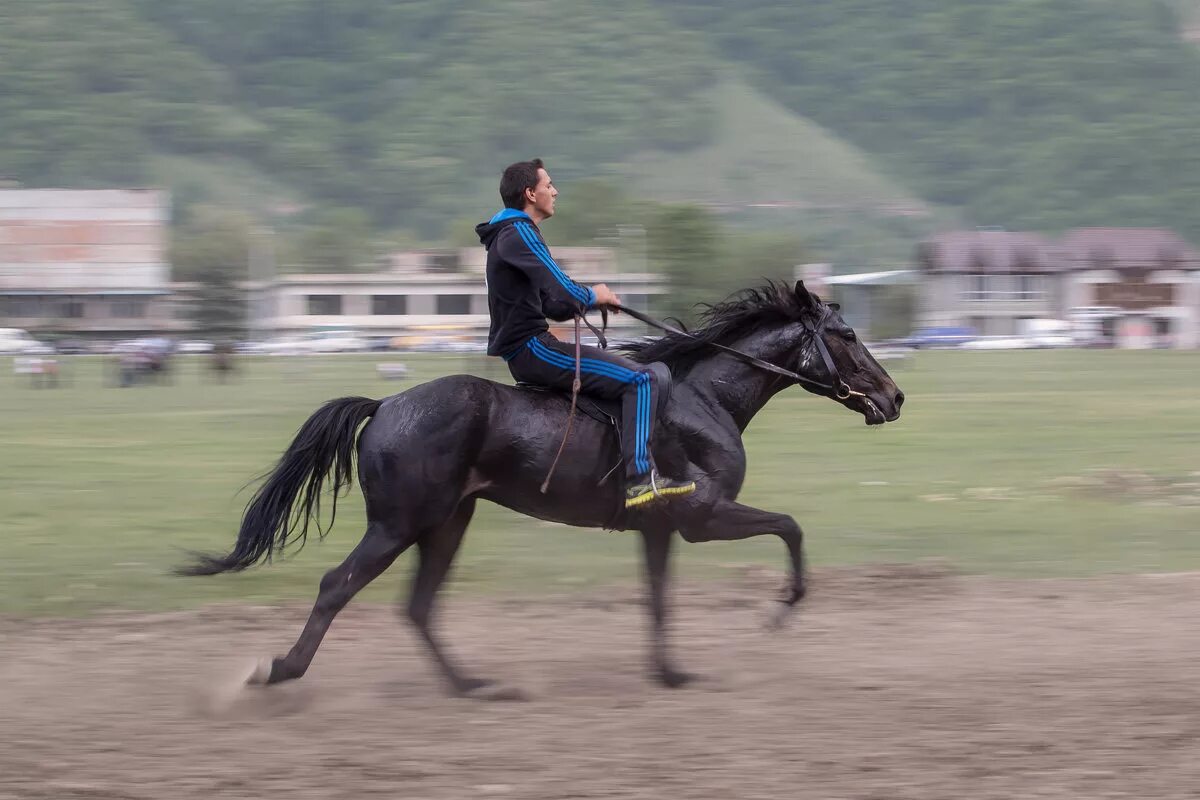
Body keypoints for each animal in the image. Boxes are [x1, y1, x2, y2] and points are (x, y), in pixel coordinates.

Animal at [182, 284, 902, 695]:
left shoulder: (662, 529)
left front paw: (669, 673)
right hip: (399, 525)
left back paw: (470, 684)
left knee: (418, 606)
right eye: (846, 335)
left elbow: (659, 601)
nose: (894, 397)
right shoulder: (703, 516)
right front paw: (782, 609)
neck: (705, 397)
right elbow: (790, 526)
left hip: (446, 524)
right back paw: (281, 669)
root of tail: (385, 404)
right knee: (339, 586)